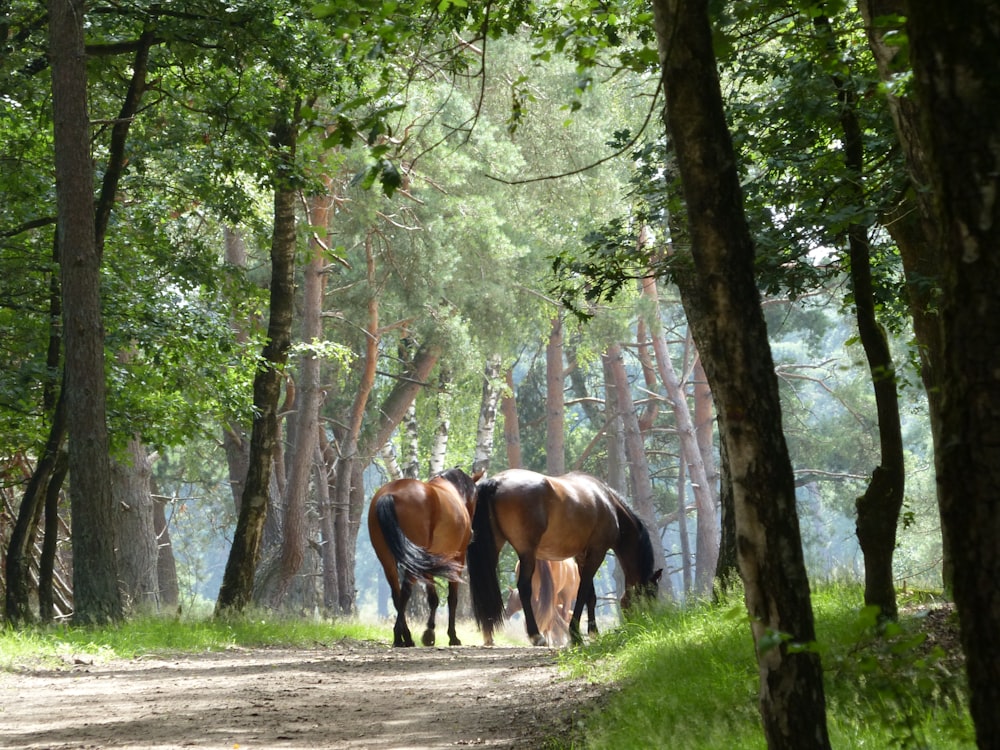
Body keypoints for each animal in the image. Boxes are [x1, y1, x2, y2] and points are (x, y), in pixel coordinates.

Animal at [368, 468, 480, 648]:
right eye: (476, 497)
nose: (471, 534)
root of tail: (391, 493)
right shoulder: (458, 559)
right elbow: (452, 599)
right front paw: (452, 636)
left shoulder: (428, 560)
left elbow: (433, 598)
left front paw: (429, 633)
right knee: (405, 591)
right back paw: (401, 637)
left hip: (387, 559)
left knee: (397, 595)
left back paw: (404, 636)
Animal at [466, 470, 660, 648]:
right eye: (651, 594)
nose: (648, 622)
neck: (608, 502)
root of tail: (497, 482)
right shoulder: (597, 553)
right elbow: (583, 593)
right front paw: (575, 634)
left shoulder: (581, 556)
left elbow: (591, 596)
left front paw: (593, 633)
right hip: (527, 553)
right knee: (524, 588)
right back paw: (536, 636)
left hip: (494, 548)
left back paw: (488, 636)